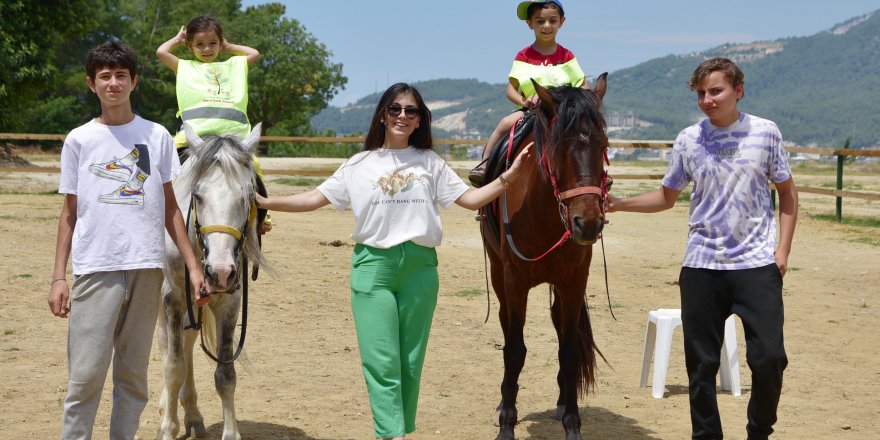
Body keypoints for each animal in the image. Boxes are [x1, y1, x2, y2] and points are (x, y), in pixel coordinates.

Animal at [158, 124, 266, 440]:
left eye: (248, 195)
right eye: (197, 195)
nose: (219, 271)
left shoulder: (229, 300)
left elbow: (225, 374)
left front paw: (230, 433)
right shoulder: (173, 297)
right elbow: (173, 366)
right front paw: (168, 428)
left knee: (188, 343)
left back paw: (192, 414)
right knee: (167, 344)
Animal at [482, 75, 612, 440]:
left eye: (603, 145)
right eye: (559, 148)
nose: (588, 223)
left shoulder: (573, 281)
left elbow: (569, 350)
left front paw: (572, 422)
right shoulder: (514, 281)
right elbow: (514, 350)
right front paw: (506, 423)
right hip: (498, 275)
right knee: (505, 325)